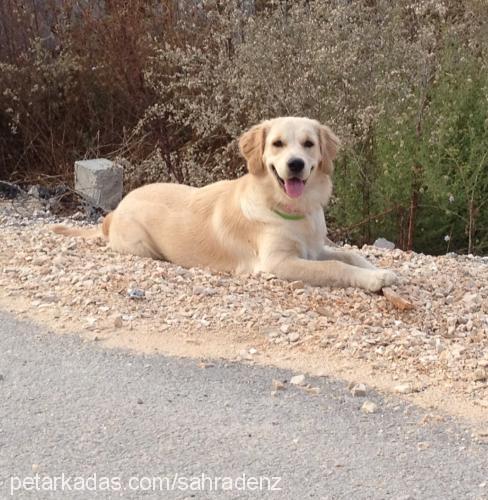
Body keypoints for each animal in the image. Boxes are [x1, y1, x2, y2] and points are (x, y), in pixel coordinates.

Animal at [53, 116, 396, 292]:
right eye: (278, 144)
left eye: (309, 144)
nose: (296, 164)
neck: (292, 210)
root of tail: (114, 211)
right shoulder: (277, 262)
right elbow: (335, 266)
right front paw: (373, 280)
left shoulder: (314, 248)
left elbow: (350, 256)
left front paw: (381, 272)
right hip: (141, 245)